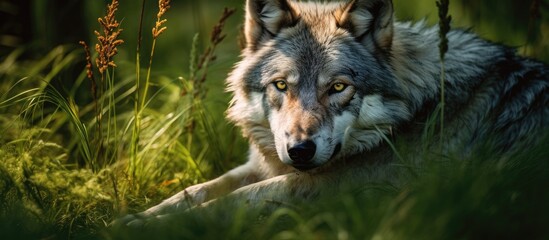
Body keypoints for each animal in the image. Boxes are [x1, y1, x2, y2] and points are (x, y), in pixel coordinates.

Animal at [114, 0, 544, 227]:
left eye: (337, 88)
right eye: (281, 86)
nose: (300, 150)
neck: (422, 107)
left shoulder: (331, 187)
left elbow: (230, 200)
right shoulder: (267, 164)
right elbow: (196, 190)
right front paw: (134, 218)